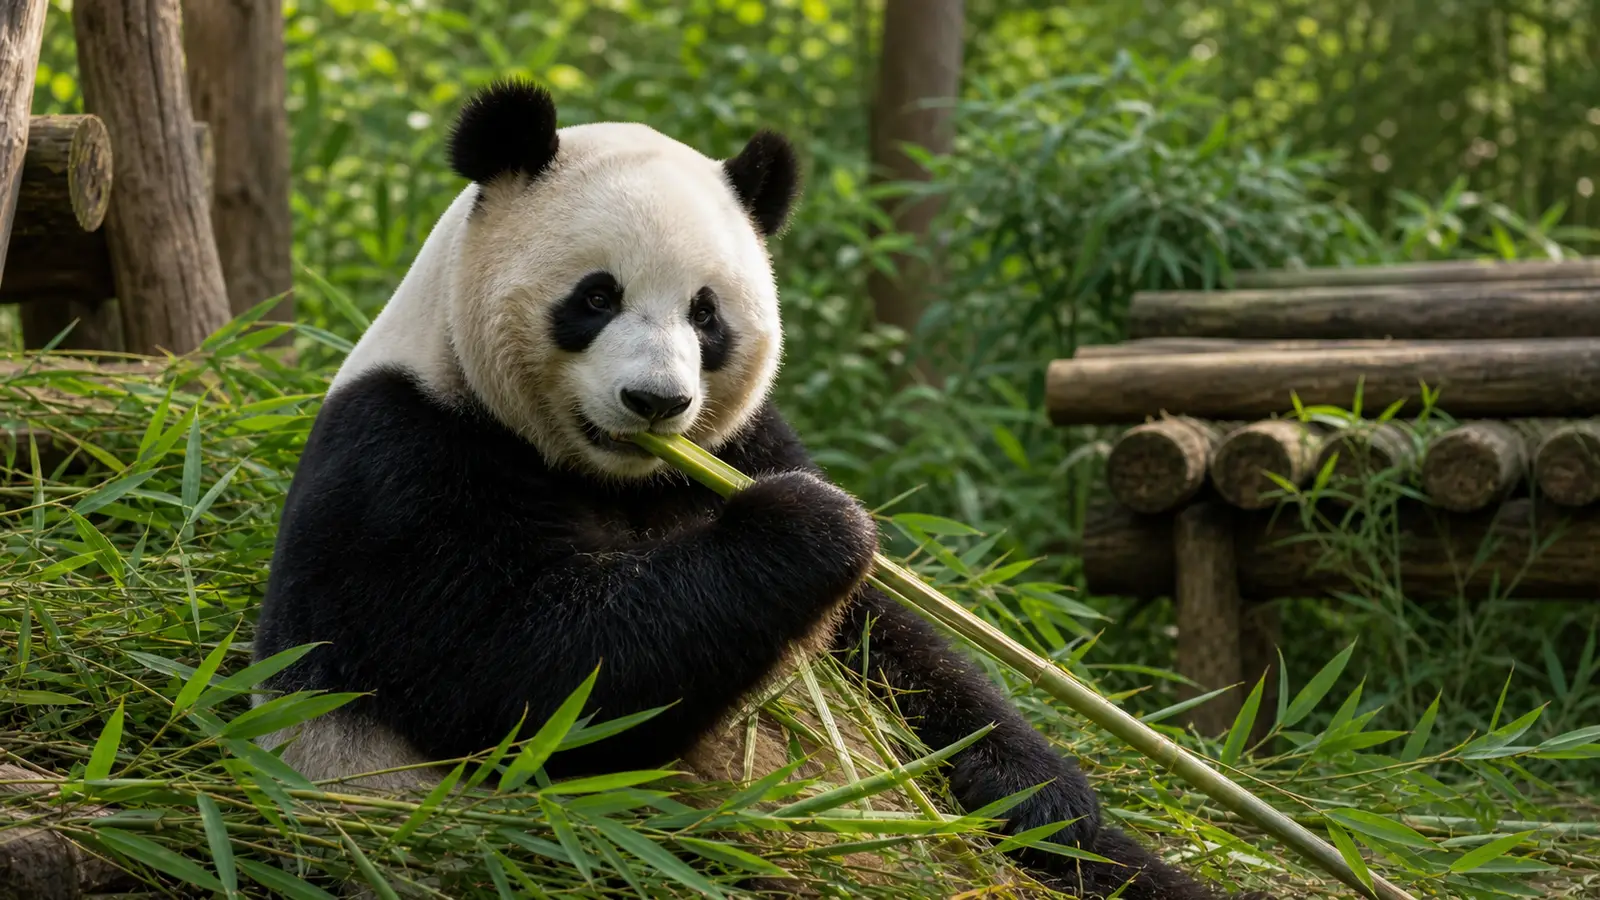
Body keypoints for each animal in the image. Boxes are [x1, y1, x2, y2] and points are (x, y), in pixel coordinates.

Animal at [253, 79, 1271, 900]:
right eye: (596, 296)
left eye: (706, 314)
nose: (656, 402)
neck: (604, 469)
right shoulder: (401, 462)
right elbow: (522, 684)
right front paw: (813, 524)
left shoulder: (741, 438)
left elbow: (899, 653)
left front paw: (1039, 788)